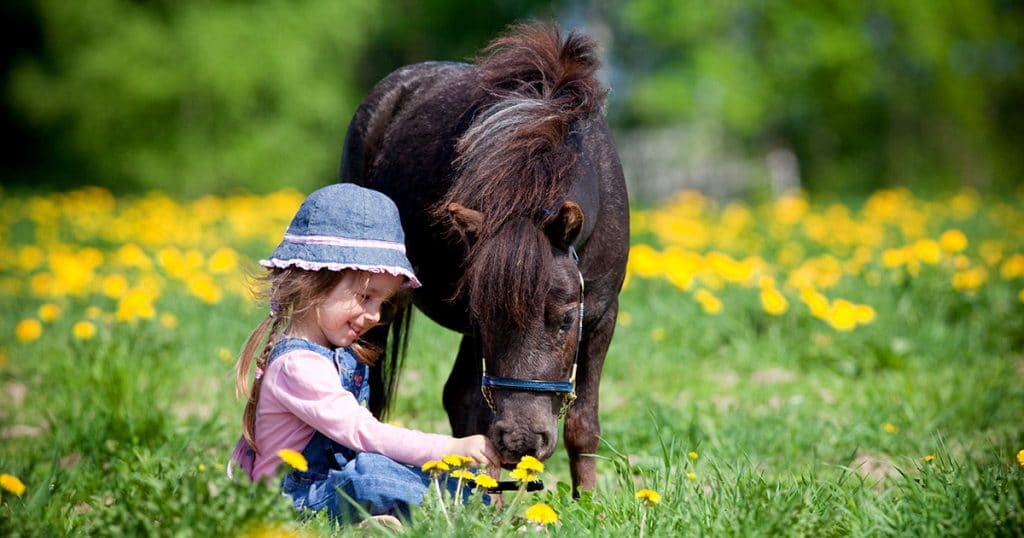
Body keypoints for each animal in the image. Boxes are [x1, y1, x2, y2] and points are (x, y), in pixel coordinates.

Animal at [337, 24, 622, 495]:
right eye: (486, 316)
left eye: (566, 319)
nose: (523, 440)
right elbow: (478, 415)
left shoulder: (601, 315)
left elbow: (583, 424)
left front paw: (589, 502)